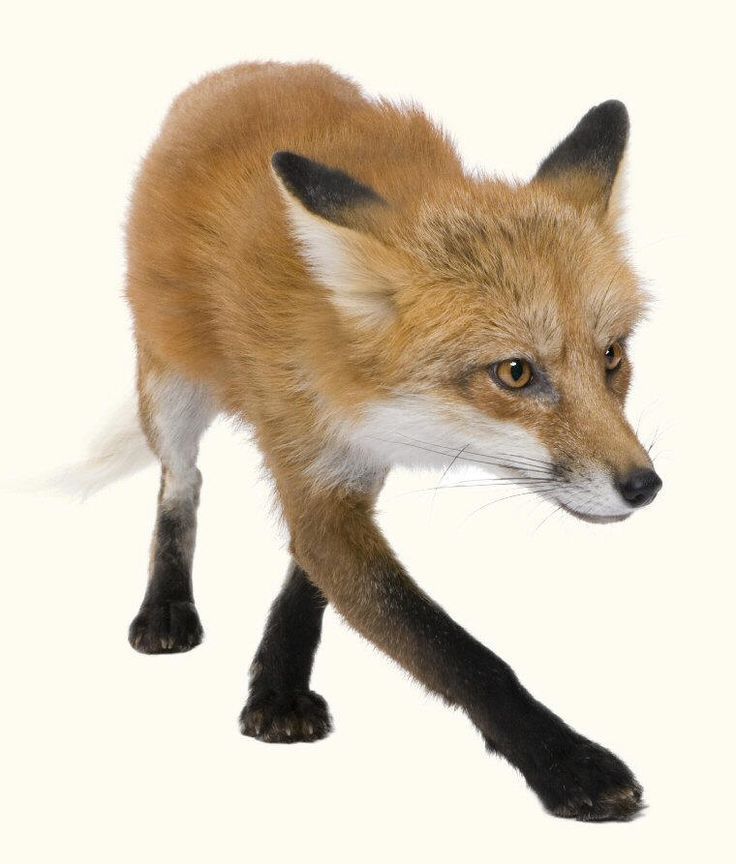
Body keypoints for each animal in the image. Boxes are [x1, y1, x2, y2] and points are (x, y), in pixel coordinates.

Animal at [112, 60, 664, 824]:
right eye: (515, 373)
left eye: (611, 355)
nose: (644, 486)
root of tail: (243, 69)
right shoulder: (309, 456)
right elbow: (457, 653)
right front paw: (567, 762)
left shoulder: (351, 465)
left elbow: (317, 572)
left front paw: (278, 682)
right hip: (170, 388)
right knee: (181, 484)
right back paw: (166, 604)